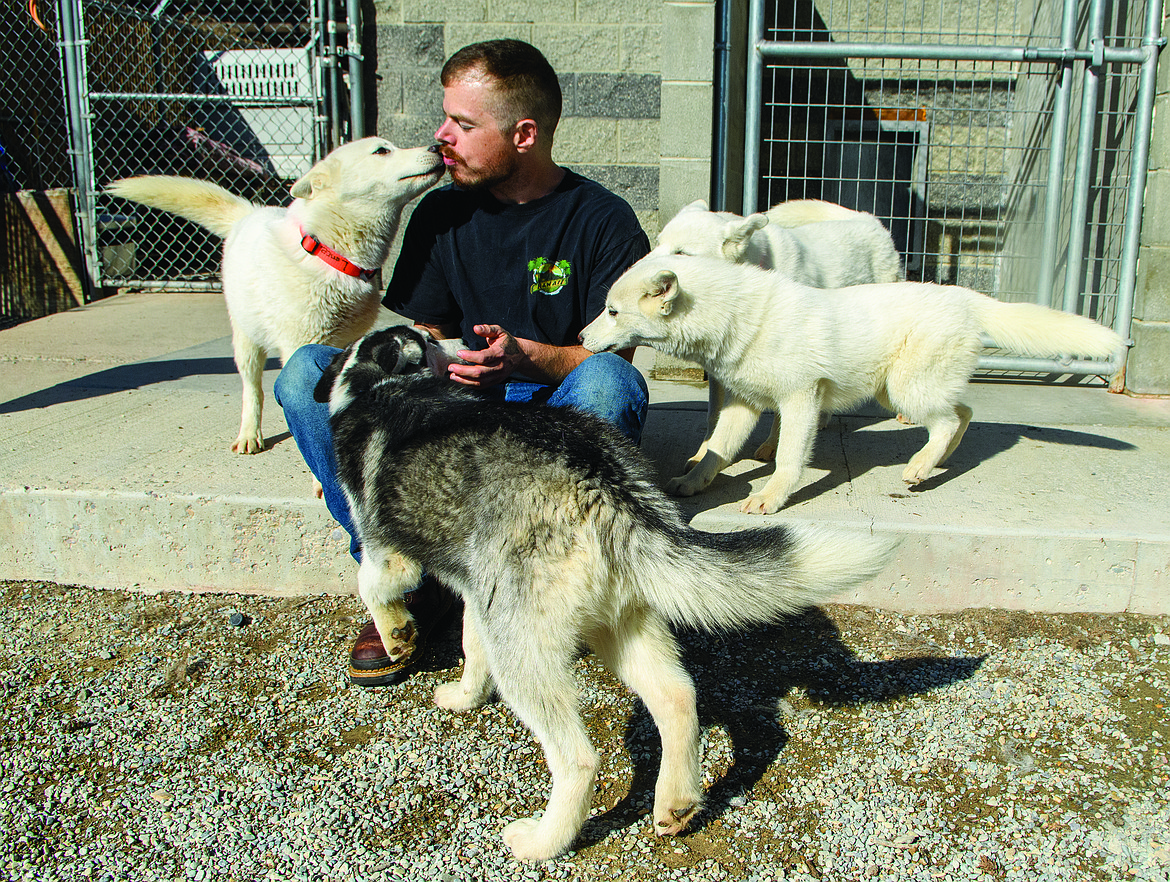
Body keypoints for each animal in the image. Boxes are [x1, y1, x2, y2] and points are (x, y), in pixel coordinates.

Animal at [106, 139, 442, 453]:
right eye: (381, 151)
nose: (438, 146)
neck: (330, 253)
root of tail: (250, 212)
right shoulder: (300, 344)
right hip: (246, 340)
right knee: (252, 389)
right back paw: (249, 434)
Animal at [315, 325, 889, 860]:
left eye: (429, 338)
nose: (466, 339)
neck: (381, 385)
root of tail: (603, 480)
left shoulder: (388, 550)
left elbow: (373, 583)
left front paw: (397, 635)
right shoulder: (479, 593)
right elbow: (471, 646)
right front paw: (465, 694)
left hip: (528, 647)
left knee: (579, 758)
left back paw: (543, 841)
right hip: (615, 617)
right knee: (678, 696)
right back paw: (676, 801)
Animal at [582, 252, 1123, 514]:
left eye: (612, 311)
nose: (582, 338)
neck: (739, 319)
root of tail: (964, 297)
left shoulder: (800, 399)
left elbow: (789, 459)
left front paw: (770, 497)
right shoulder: (743, 405)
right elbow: (717, 449)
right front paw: (694, 483)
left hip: (906, 390)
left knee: (950, 419)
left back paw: (920, 466)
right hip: (898, 389)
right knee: (964, 413)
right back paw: (936, 464)